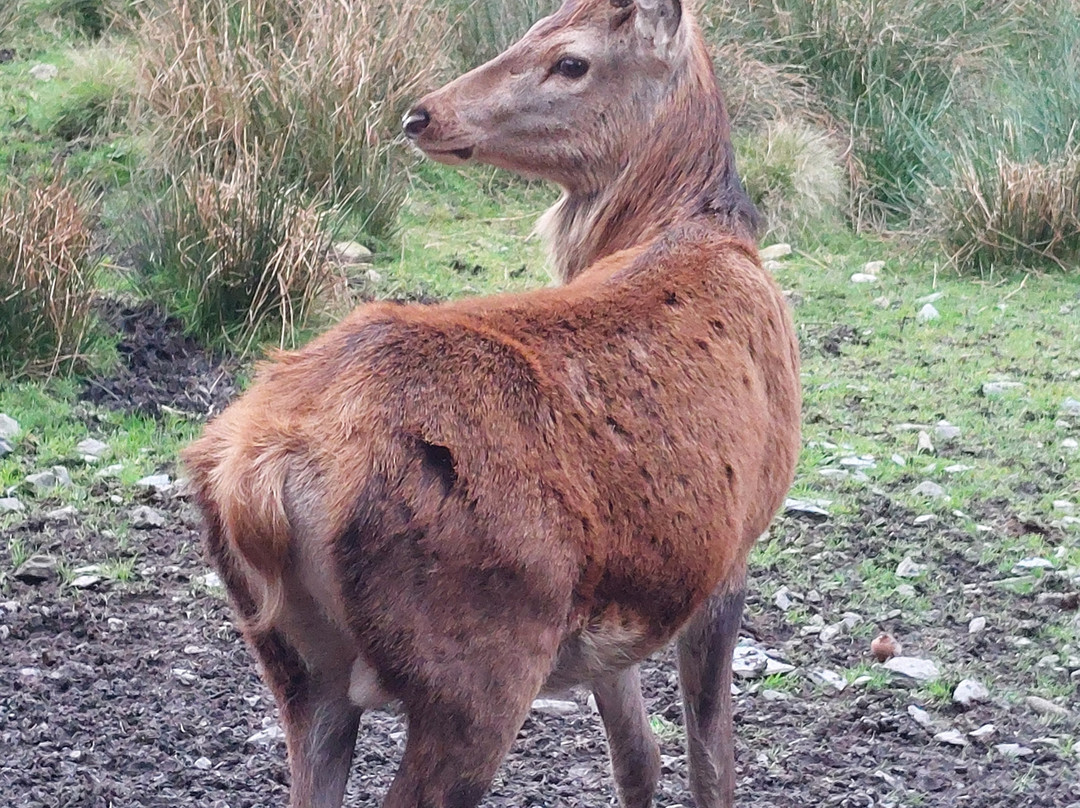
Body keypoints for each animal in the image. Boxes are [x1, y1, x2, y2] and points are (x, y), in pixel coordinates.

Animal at [182, 1, 801, 807]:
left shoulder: (615, 610)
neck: (691, 227)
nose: (422, 114)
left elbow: (639, 756)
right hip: (480, 661)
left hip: (294, 661)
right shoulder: (733, 547)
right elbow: (712, 765)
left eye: (569, 58)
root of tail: (257, 474)